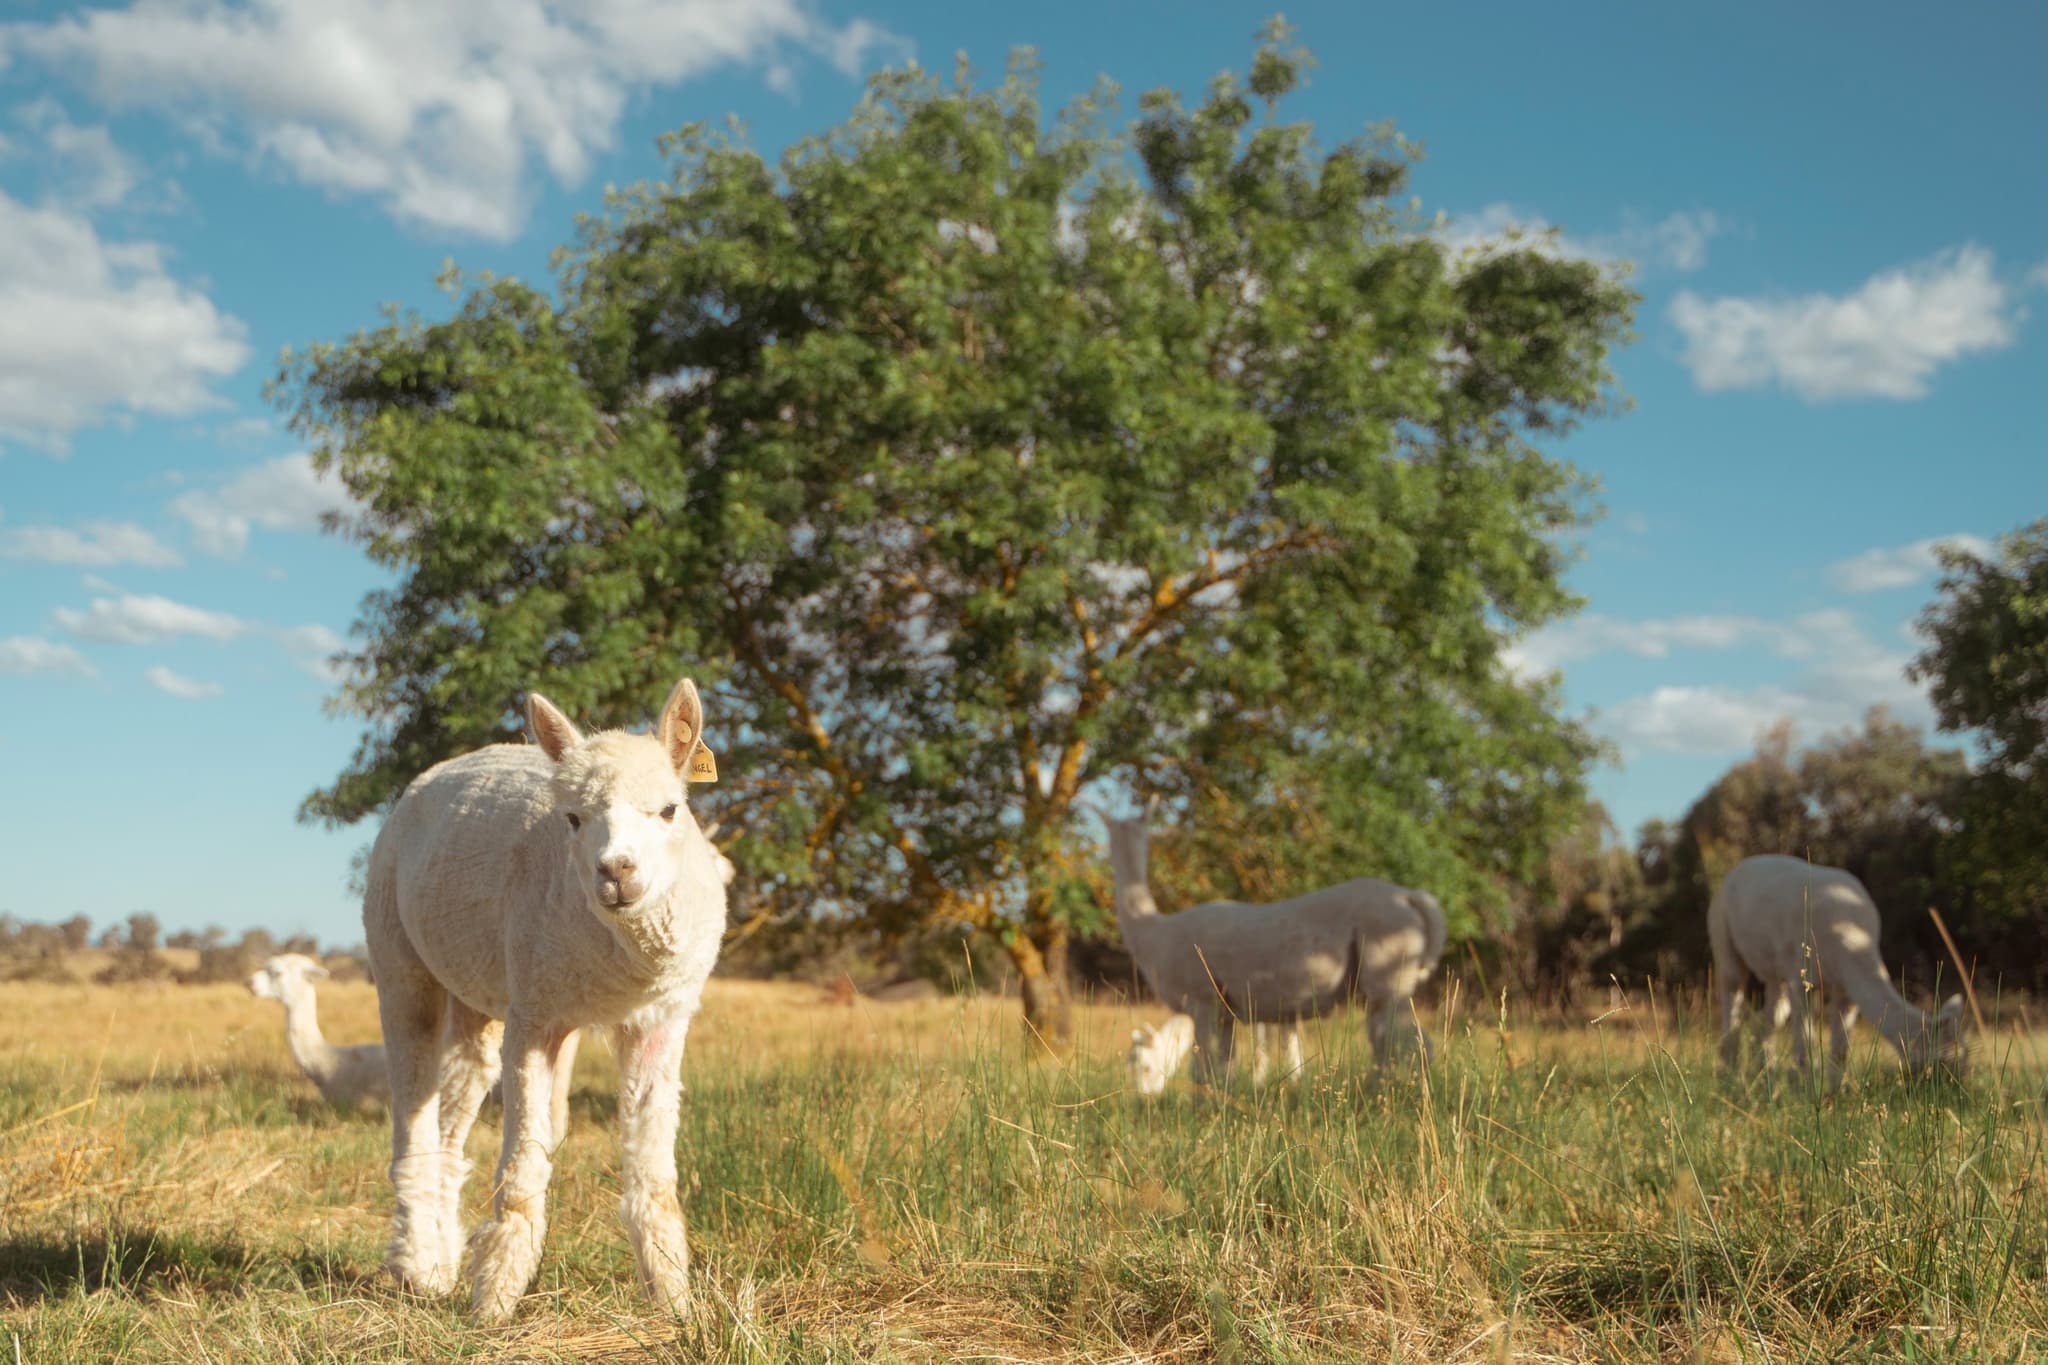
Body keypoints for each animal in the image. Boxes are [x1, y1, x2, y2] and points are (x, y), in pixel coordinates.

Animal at [364, 676, 728, 1322]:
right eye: (574, 818)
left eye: (669, 809)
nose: (617, 871)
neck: (623, 970)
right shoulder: (535, 1014)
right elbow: (523, 1170)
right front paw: (495, 1302)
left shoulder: (660, 1019)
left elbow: (653, 1175)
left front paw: (674, 1302)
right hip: (397, 949)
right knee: (413, 1110)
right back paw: (416, 1264)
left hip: (480, 987)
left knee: (455, 1105)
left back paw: (440, 1262)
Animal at [1105, 805, 1445, 1086]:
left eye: (1143, 1066)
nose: (1143, 1096)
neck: (1154, 934)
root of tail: (1410, 897)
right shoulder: (1229, 1011)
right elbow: (1227, 1068)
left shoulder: (1203, 1000)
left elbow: (1203, 1070)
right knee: (1384, 1040)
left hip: (1390, 975)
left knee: (1414, 1044)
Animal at [1710, 854, 1968, 1087]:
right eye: (1944, 1063)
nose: (1957, 1088)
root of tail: (1737, 870)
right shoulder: (1801, 978)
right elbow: (1804, 1048)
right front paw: (1804, 1093)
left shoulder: (1847, 992)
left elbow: (1840, 1050)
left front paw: (1834, 1094)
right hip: (1722, 929)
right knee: (1732, 994)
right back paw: (1731, 1075)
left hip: (1775, 975)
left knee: (1768, 1016)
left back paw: (1765, 1078)